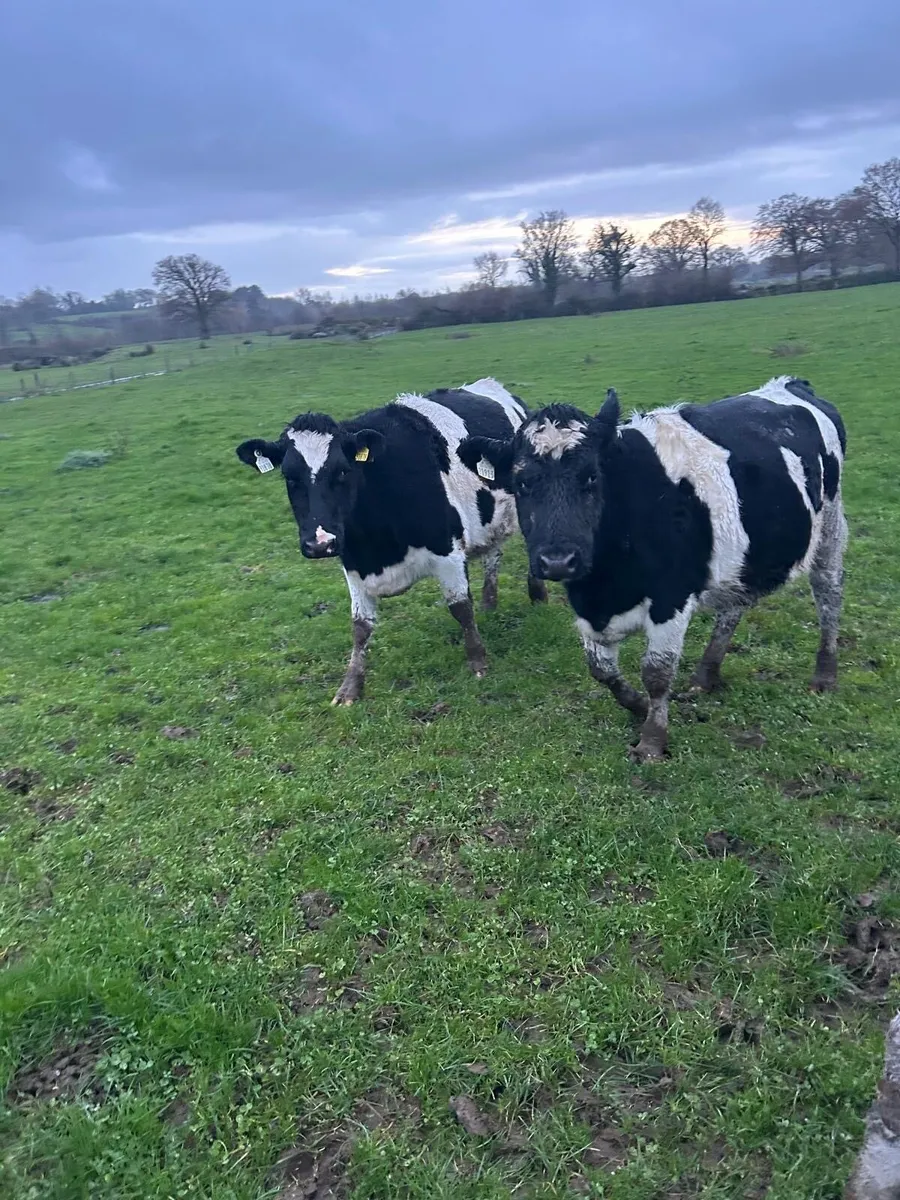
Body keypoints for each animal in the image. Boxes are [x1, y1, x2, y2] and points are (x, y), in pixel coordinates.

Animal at [235, 378, 548, 704]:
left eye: (343, 470)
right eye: (289, 476)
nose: (320, 543)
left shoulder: (447, 551)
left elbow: (460, 607)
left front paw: (478, 661)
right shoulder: (352, 564)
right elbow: (360, 627)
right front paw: (350, 687)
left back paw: (537, 595)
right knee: (492, 556)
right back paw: (490, 601)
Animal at [457, 375, 848, 761]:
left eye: (592, 477)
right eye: (522, 483)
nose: (557, 561)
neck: (605, 587)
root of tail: (789, 384)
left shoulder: (671, 598)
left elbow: (656, 673)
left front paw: (652, 740)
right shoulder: (588, 609)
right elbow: (601, 670)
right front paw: (638, 706)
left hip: (830, 527)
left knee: (828, 594)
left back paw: (824, 675)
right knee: (734, 607)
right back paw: (706, 676)